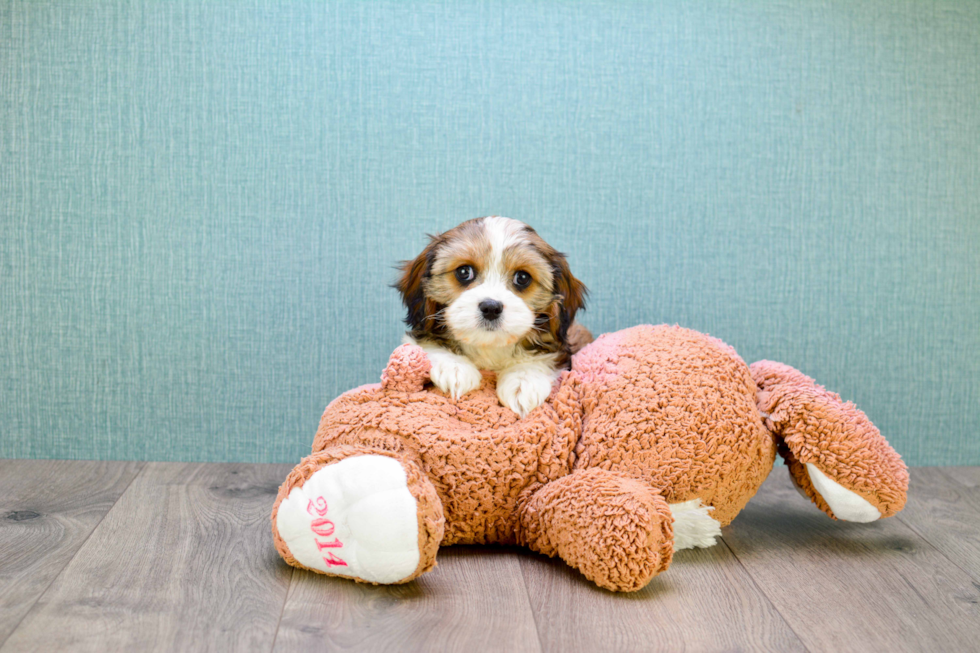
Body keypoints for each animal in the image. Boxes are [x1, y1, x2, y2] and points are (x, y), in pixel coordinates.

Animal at [396, 216, 588, 416]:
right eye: (464, 272)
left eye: (522, 278)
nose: (491, 307)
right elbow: (426, 342)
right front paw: (454, 367)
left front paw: (523, 380)